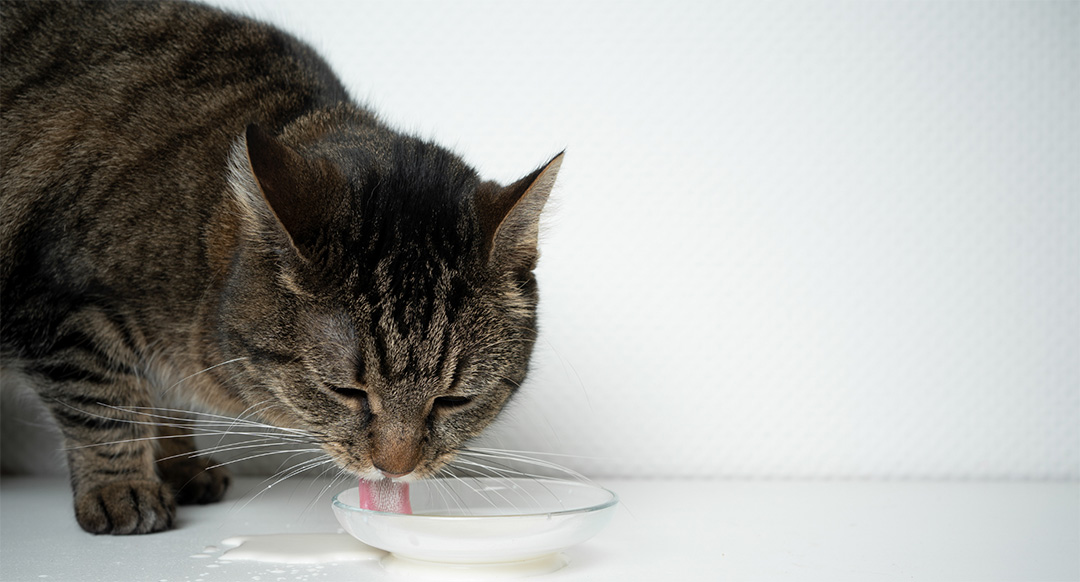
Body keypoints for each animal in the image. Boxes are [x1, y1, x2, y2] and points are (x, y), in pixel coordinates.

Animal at [0, 0, 557, 537]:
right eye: (346, 392)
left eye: (454, 401)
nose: (395, 469)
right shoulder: (65, 308)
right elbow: (106, 404)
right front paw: (123, 486)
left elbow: (163, 404)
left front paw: (180, 462)